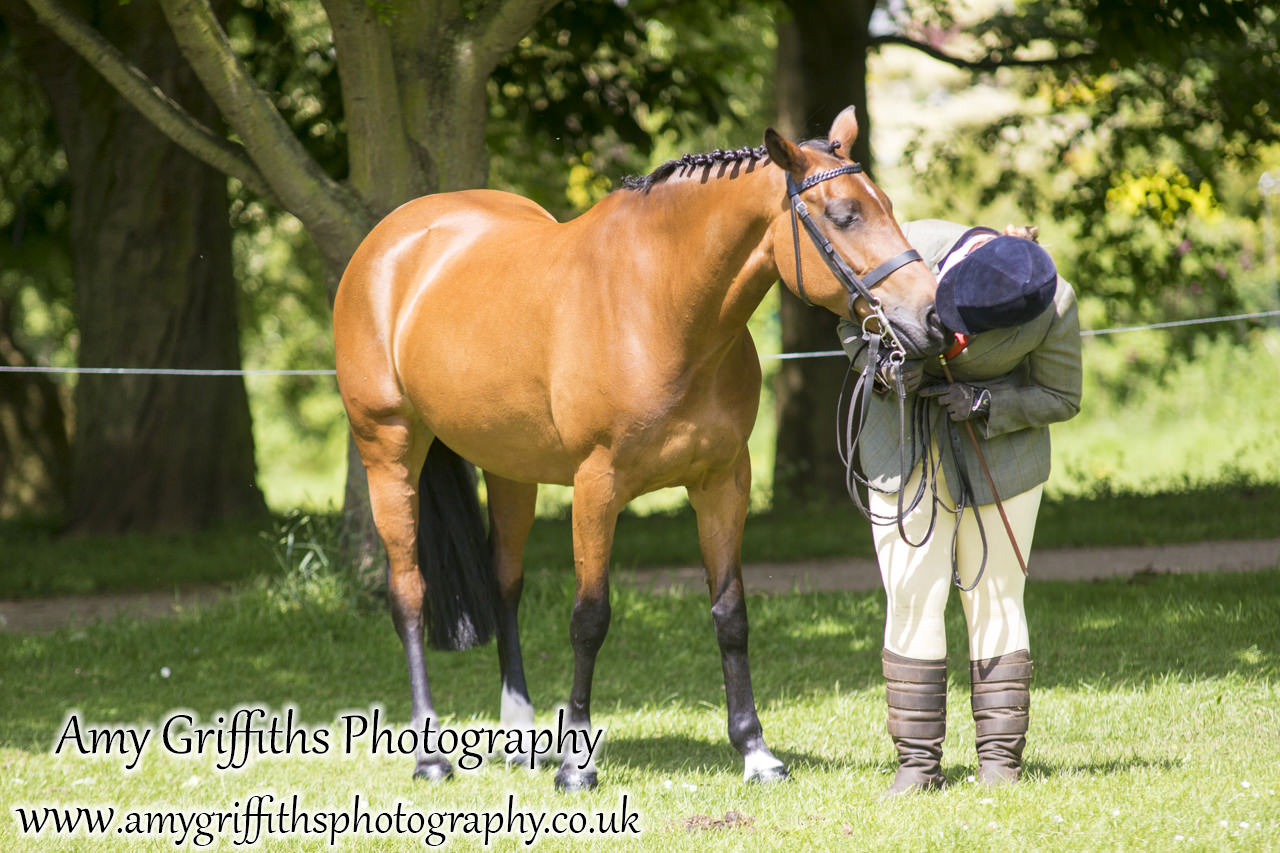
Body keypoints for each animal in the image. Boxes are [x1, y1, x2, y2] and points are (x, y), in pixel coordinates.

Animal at [335, 108, 947, 788]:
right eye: (843, 215)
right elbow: (589, 618)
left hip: (511, 469)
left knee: (504, 584)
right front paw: (575, 767)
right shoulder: (597, 486)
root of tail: (391, 238)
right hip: (388, 450)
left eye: (885, 204)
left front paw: (755, 752)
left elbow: (730, 614)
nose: (932, 318)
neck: (660, 305)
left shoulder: (722, 482)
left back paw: (521, 735)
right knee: (408, 592)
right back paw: (429, 754)